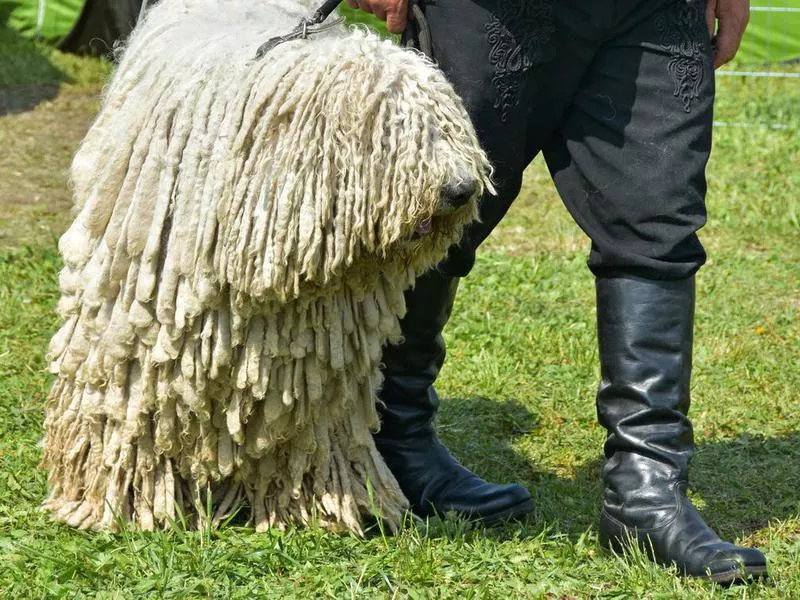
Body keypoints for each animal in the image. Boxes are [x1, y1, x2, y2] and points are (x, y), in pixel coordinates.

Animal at [43, 0, 494, 536]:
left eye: (448, 124)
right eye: (391, 131)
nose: (462, 189)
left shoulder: (315, 356)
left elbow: (306, 434)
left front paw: (314, 505)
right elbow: (131, 410)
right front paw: (121, 500)